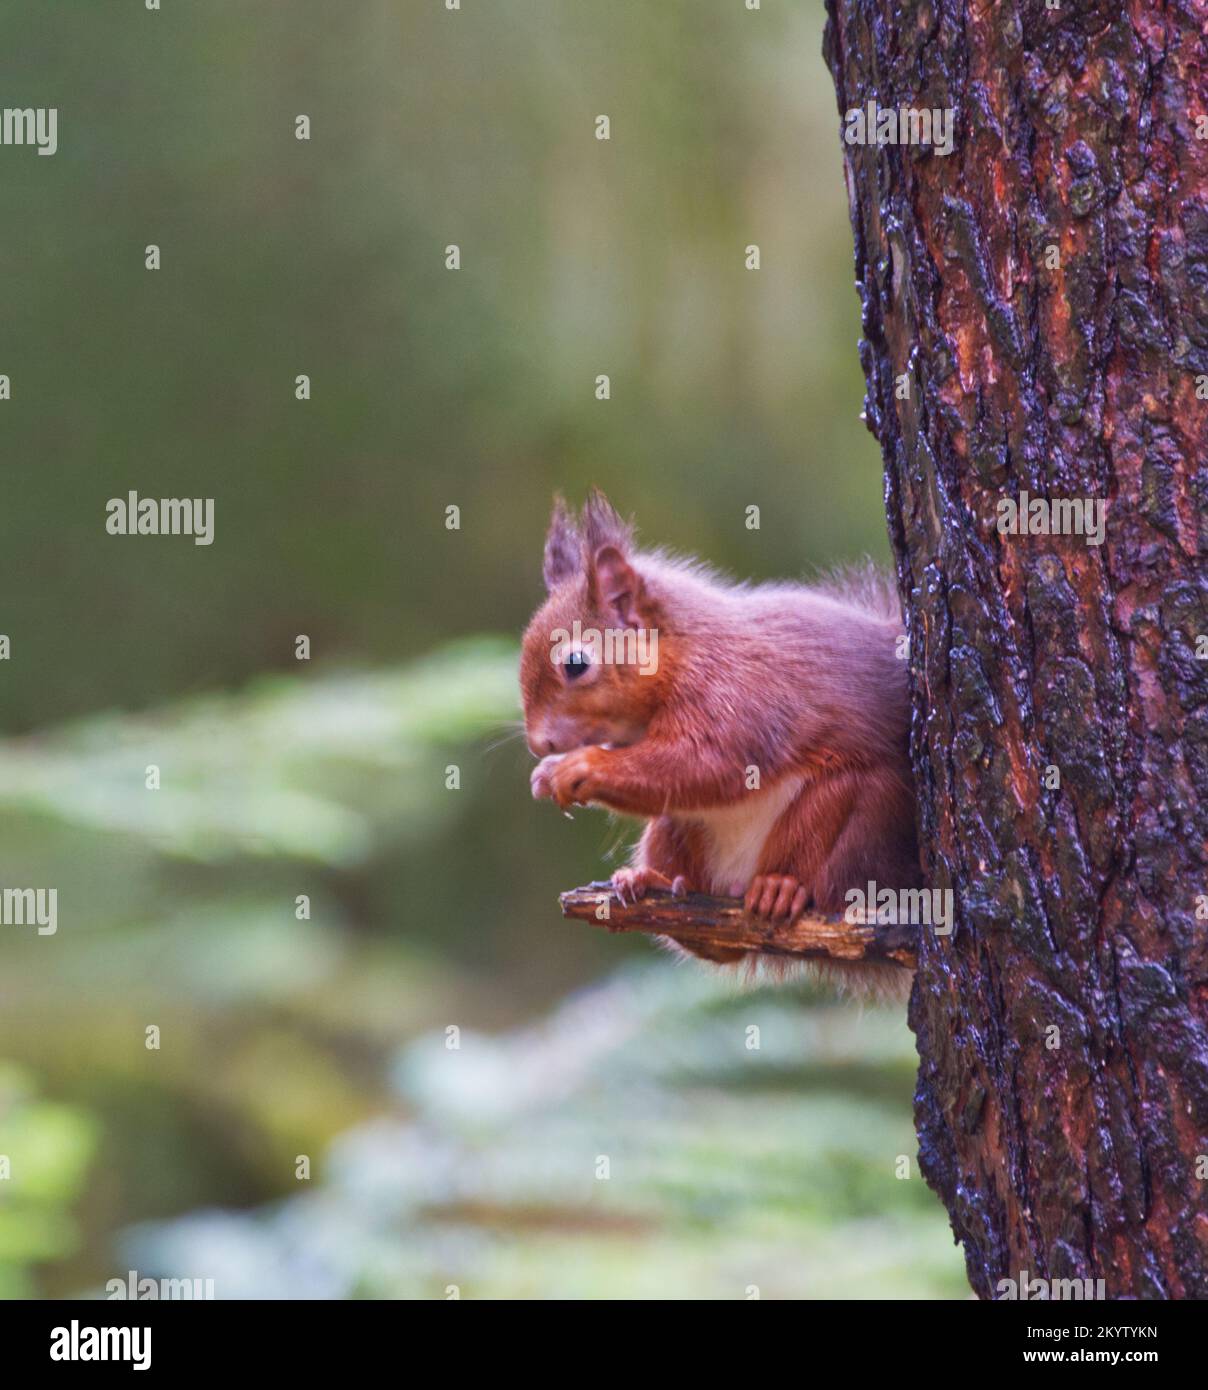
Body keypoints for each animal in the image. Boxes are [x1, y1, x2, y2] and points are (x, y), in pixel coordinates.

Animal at [519, 492, 923, 989]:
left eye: (576, 664)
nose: (538, 744)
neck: (682, 651)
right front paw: (544, 775)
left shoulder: (734, 699)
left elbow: (705, 764)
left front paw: (578, 768)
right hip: (673, 832)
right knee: (714, 939)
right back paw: (653, 882)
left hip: (856, 815)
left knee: (828, 879)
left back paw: (782, 888)